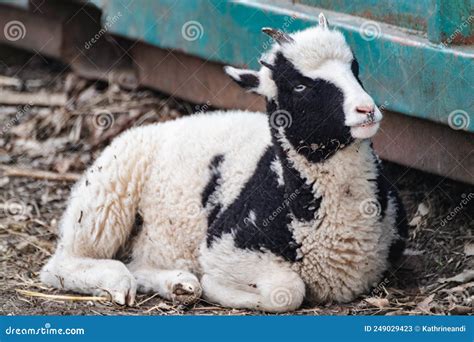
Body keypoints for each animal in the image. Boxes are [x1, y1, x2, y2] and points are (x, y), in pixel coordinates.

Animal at [40, 13, 408, 312]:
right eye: (300, 86)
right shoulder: (224, 247)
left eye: (355, 68)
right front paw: (220, 290)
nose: (367, 110)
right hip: (108, 191)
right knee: (63, 263)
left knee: (138, 264)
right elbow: (288, 291)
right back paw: (120, 281)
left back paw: (178, 284)